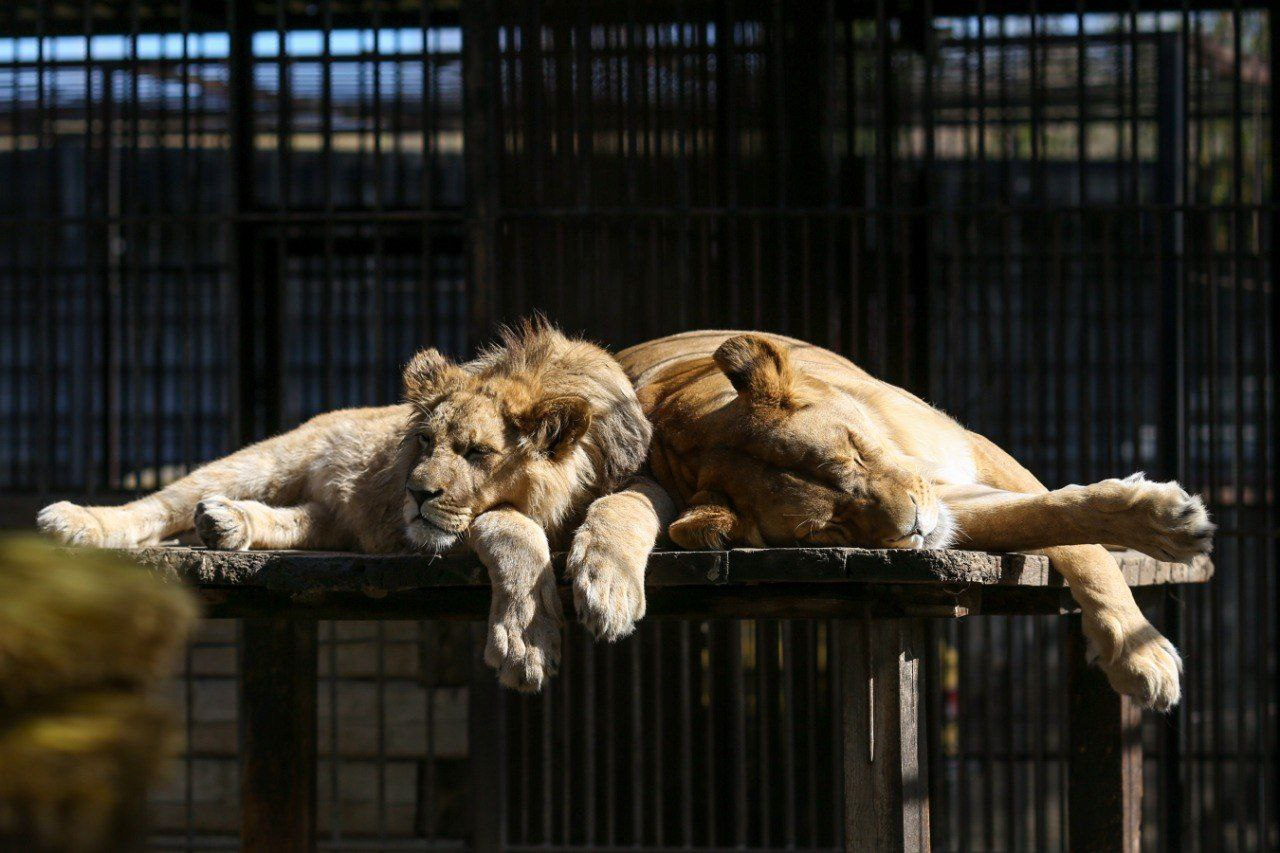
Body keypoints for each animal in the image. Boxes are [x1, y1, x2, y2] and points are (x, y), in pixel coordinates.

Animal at [38, 324, 650, 691]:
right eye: (425, 441)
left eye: (478, 452)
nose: (415, 493)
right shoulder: (459, 530)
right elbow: (511, 525)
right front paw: (525, 642)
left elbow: (627, 509)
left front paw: (609, 592)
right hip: (267, 458)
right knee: (160, 505)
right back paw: (74, 521)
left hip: (333, 517)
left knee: (295, 520)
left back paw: (226, 523)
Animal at [570, 327, 1208, 706]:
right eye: (827, 530)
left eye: (853, 450)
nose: (917, 525)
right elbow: (1049, 524)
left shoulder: (969, 454)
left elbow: (1066, 521)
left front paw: (1166, 538)